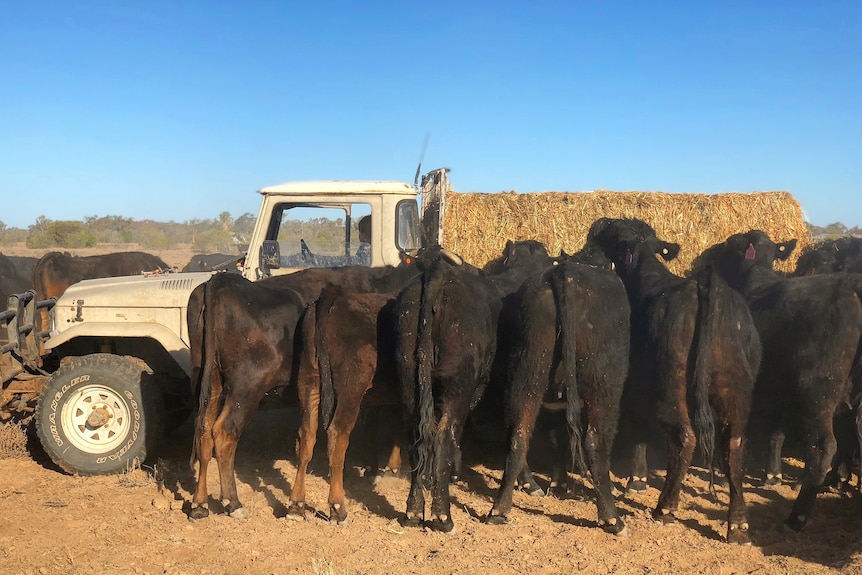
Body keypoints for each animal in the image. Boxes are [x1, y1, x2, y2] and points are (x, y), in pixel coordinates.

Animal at [490, 254, 632, 536]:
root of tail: (565, 274)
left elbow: (558, 439)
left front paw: (558, 482)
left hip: (527, 374)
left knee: (518, 435)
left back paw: (501, 507)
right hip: (604, 388)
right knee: (594, 442)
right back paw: (613, 519)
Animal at [588, 217, 764, 544]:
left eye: (614, 235)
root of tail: (706, 286)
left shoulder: (636, 388)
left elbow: (639, 431)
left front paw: (636, 479)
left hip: (674, 386)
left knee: (685, 438)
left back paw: (665, 509)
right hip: (735, 387)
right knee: (734, 445)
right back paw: (738, 525)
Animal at [700, 231, 862, 532]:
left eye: (729, 244)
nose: (710, 255)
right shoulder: (776, 386)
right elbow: (777, 433)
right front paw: (772, 473)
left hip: (818, 393)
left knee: (824, 447)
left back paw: (796, 516)